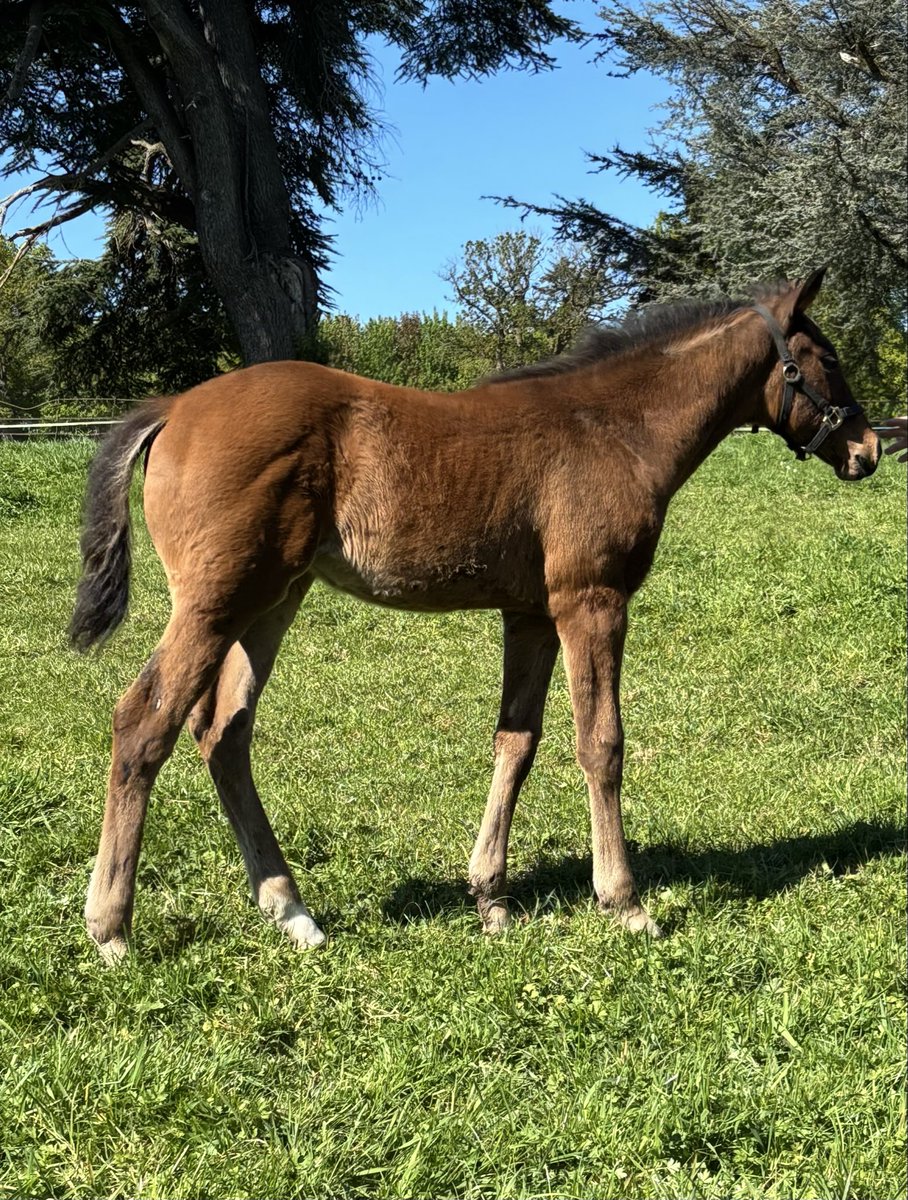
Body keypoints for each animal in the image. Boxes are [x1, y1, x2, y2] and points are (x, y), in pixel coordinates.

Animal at [70, 269, 879, 962]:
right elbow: (602, 743)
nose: (869, 449)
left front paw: (491, 897)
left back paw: (292, 910)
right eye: (827, 358)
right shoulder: (591, 601)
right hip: (216, 602)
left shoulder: (530, 615)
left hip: (272, 600)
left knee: (223, 732)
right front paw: (624, 902)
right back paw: (112, 930)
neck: (615, 427)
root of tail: (173, 409)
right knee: (143, 723)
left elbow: (515, 742)